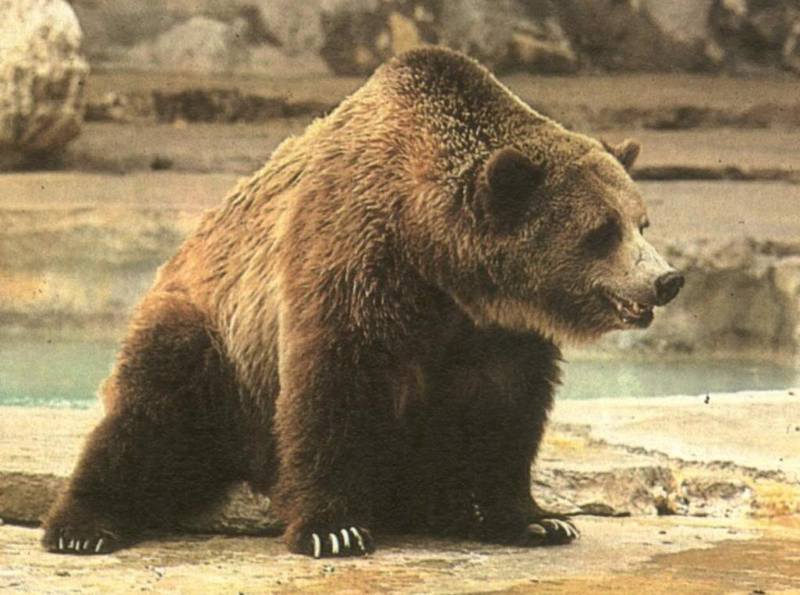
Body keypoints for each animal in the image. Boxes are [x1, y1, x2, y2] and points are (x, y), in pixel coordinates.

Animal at [41, 47, 684, 558]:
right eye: (601, 231)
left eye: (641, 222)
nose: (666, 280)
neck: (439, 262)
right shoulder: (353, 258)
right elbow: (332, 386)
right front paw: (333, 529)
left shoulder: (497, 333)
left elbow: (506, 414)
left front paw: (537, 519)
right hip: (213, 346)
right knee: (152, 416)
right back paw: (82, 525)